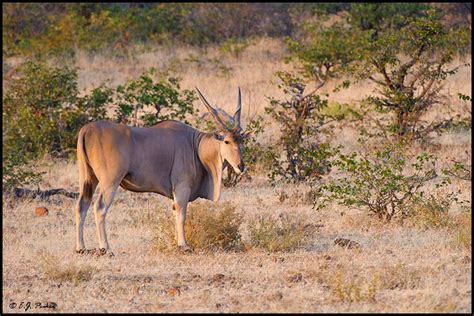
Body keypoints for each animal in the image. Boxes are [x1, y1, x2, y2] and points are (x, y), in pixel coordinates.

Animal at [75, 87, 246, 254]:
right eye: (227, 141)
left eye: (241, 141)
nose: (241, 166)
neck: (196, 146)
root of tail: (87, 129)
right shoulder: (182, 186)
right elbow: (181, 214)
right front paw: (184, 245)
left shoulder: (174, 192)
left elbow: (175, 212)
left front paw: (176, 243)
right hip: (110, 181)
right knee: (99, 208)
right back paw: (106, 248)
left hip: (88, 178)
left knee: (81, 205)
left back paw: (81, 248)